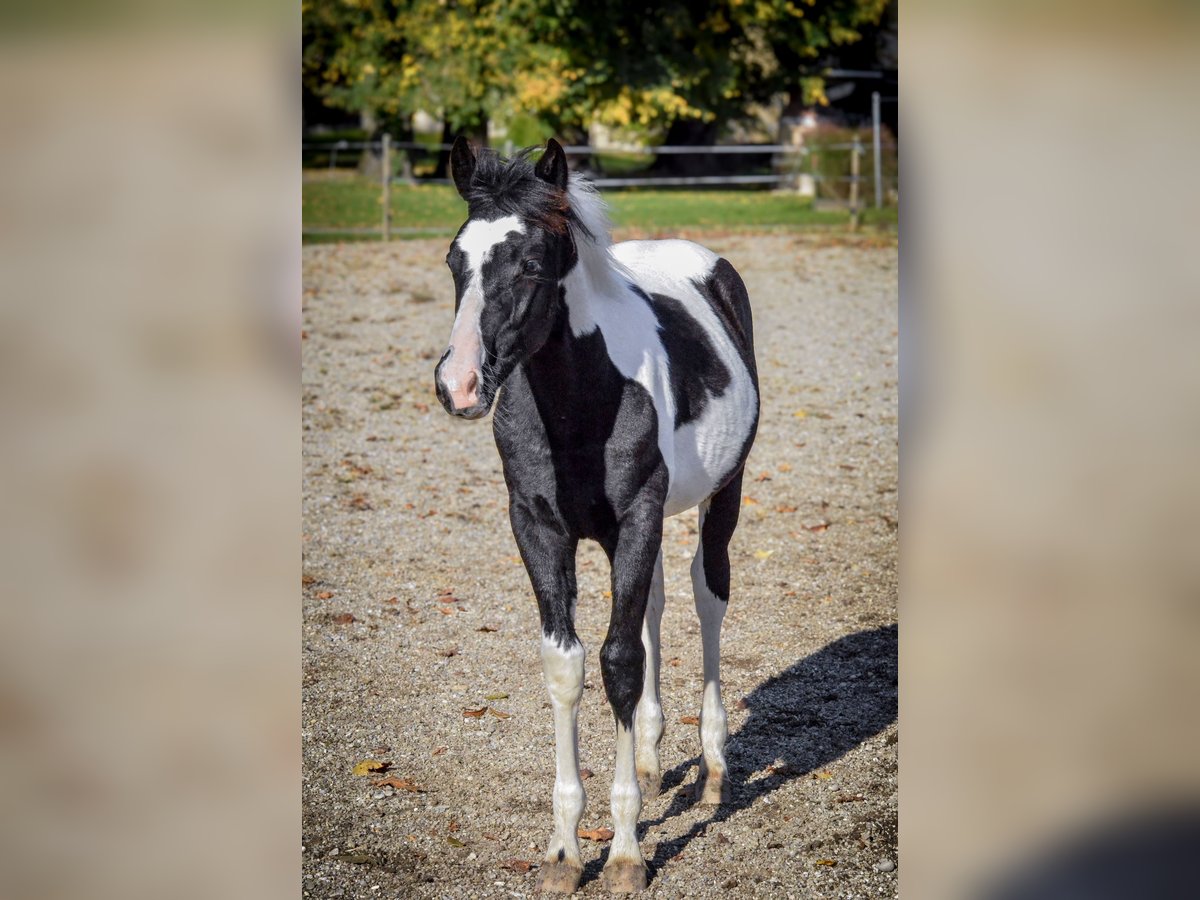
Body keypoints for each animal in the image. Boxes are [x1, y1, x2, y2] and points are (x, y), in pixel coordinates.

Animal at [433, 138, 759, 894]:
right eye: (455, 261)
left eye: (531, 263)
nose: (459, 384)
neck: (583, 400)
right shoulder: (538, 529)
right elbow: (570, 663)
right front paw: (564, 851)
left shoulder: (637, 517)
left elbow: (618, 660)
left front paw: (627, 852)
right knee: (655, 607)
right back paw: (650, 756)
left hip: (721, 493)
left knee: (707, 596)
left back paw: (715, 768)